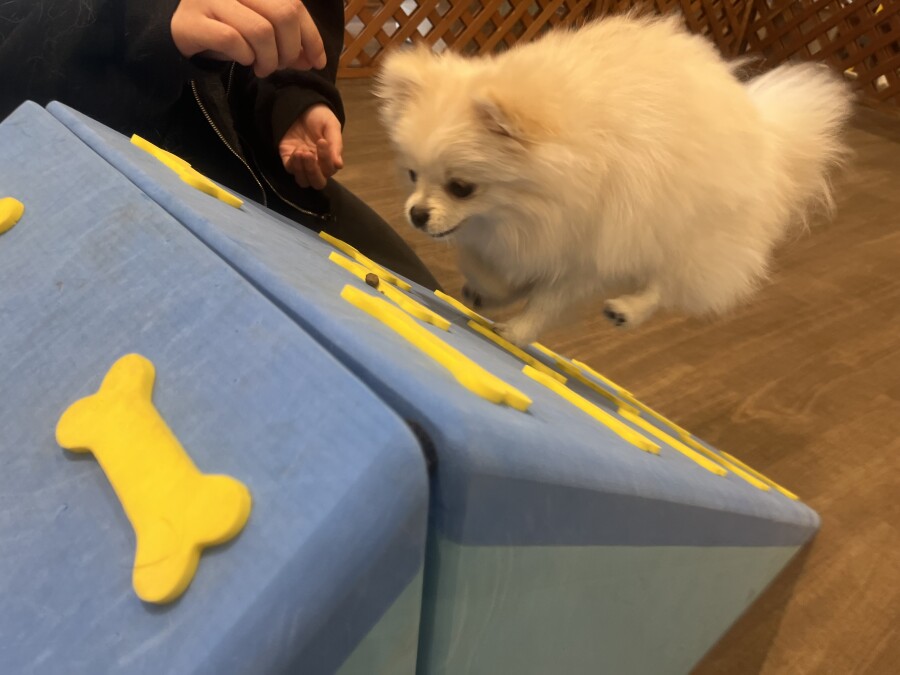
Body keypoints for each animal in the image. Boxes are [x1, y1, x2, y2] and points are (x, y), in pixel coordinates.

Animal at [375, 13, 853, 345]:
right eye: (413, 174)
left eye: (461, 187)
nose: (416, 214)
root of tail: (768, 137)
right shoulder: (513, 237)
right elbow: (487, 266)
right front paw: (489, 293)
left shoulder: (591, 249)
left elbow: (550, 299)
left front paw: (518, 331)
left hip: (692, 233)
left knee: (666, 282)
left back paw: (628, 309)